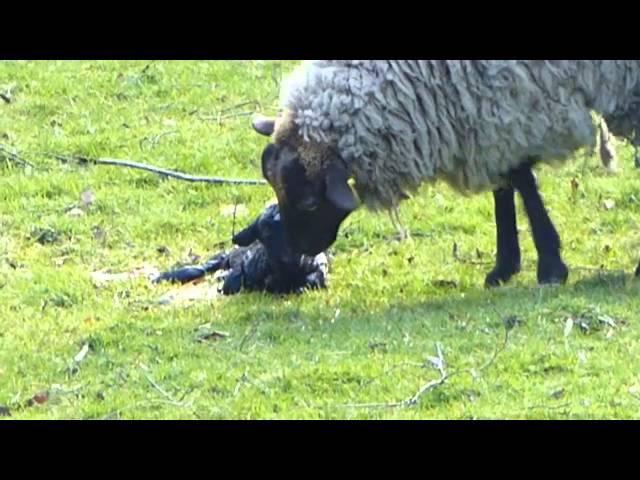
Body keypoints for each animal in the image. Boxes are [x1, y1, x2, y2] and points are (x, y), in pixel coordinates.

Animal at [152, 203, 328, 294]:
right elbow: (233, 282)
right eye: (264, 231)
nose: (287, 256)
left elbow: (313, 279)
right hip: (223, 255)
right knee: (200, 268)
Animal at [250, 60, 640, 284]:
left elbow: (521, 181)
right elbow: (507, 183)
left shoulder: (512, 103)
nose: (296, 252)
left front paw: (549, 267)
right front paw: (505, 267)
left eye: (309, 201)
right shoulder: (493, 114)